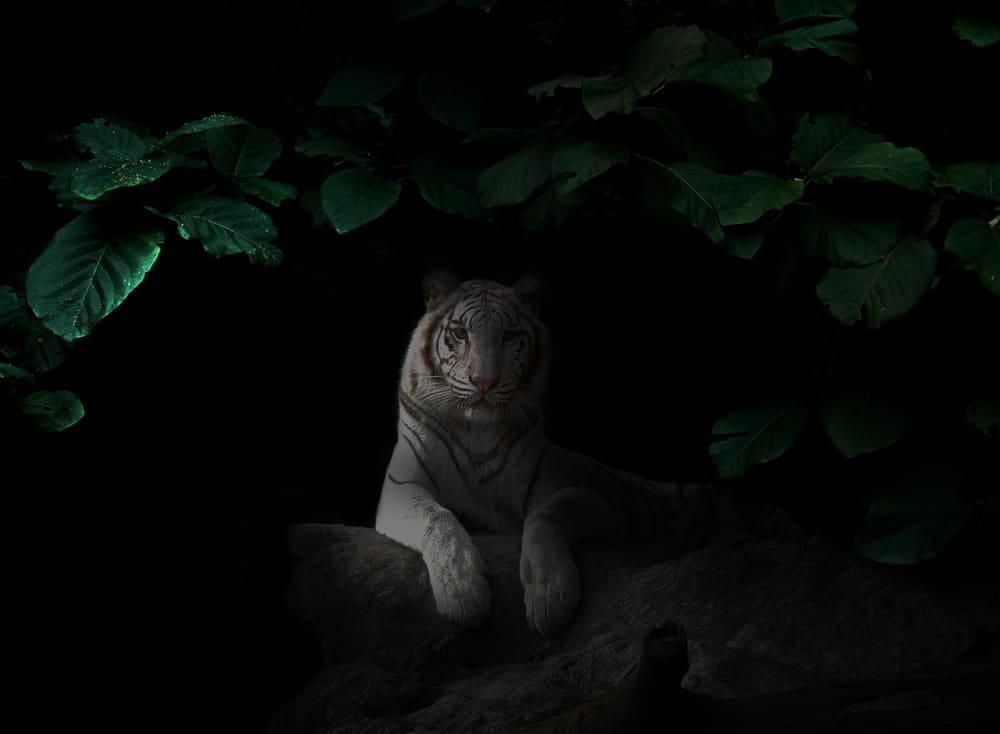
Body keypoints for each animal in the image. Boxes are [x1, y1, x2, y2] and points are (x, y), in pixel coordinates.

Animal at [374, 268, 805, 638]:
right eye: (460, 334)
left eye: (510, 336)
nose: (484, 382)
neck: (477, 429)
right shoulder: (401, 487)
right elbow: (438, 519)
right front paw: (463, 592)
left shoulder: (594, 498)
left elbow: (545, 516)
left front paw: (549, 596)